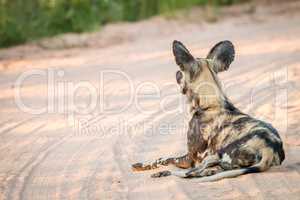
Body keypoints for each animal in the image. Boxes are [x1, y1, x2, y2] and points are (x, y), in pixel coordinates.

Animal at [132, 40, 284, 181]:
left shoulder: (189, 159)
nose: (177, 73)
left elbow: (163, 159)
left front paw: (143, 165)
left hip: (215, 156)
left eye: (182, 72)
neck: (210, 103)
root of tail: (269, 148)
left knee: (191, 173)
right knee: (205, 171)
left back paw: (164, 173)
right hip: (218, 160)